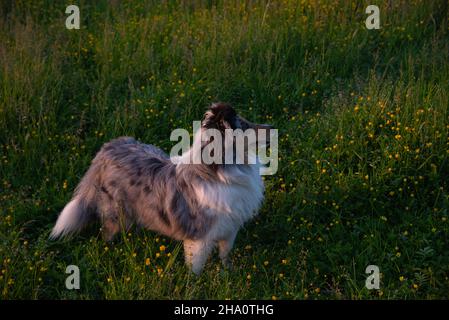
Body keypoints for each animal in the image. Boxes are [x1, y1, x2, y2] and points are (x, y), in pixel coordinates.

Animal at [50, 103, 272, 276]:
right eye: (244, 125)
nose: (272, 127)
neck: (220, 170)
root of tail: (107, 148)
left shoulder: (230, 227)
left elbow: (226, 255)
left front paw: (229, 273)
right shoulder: (200, 237)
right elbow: (196, 267)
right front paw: (195, 285)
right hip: (115, 213)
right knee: (107, 232)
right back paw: (111, 248)